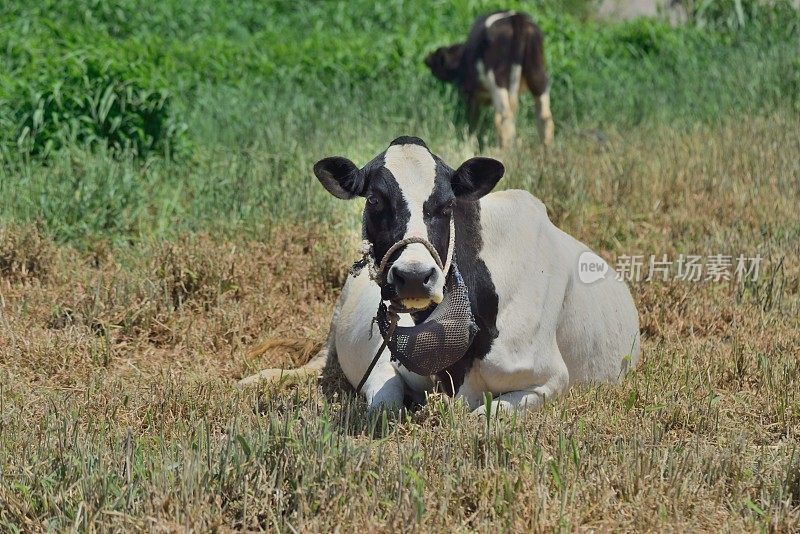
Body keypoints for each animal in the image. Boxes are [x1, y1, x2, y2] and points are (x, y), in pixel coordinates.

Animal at [241, 136, 640, 416]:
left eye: (447, 204)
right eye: (374, 200)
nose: (414, 276)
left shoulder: (549, 379)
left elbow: (485, 416)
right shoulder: (384, 359)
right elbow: (386, 404)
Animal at [424, 11, 556, 149]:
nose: (427, 58)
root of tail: (515, 16)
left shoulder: (469, 95)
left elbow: (472, 121)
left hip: (497, 78)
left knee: (505, 117)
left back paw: (503, 150)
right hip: (537, 71)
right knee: (545, 117)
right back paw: (546, 149)